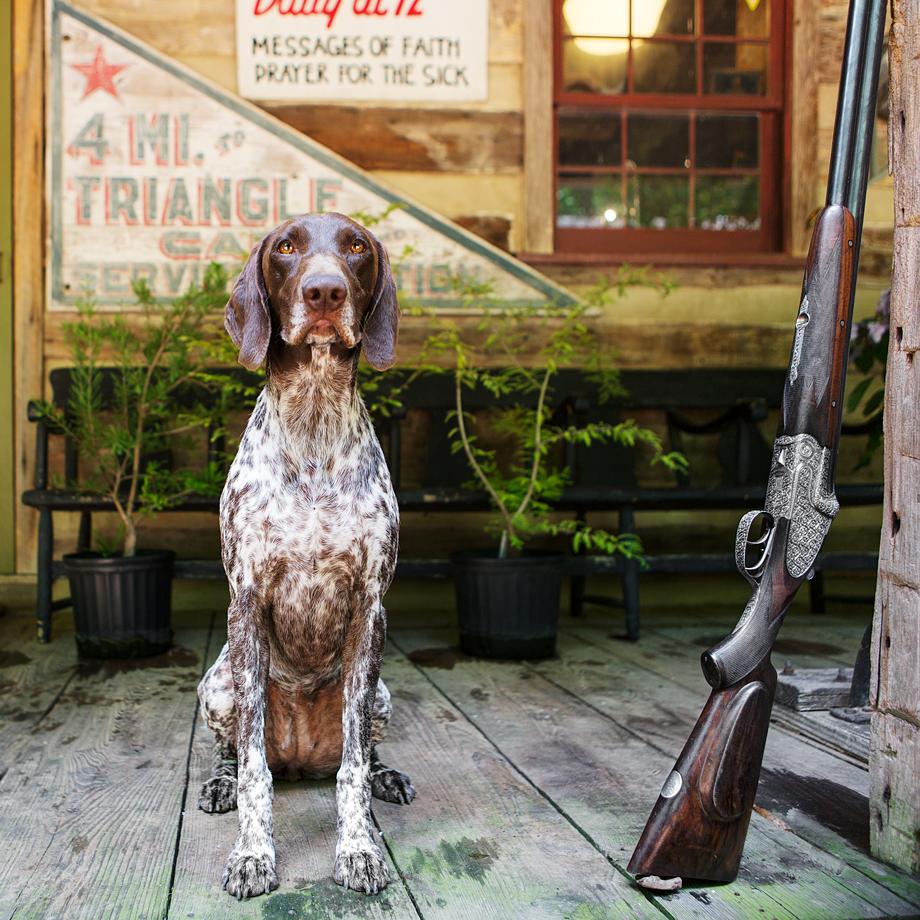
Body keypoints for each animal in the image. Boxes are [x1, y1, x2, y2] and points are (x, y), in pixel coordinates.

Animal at [200, 214, 416, 900]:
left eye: (356, 246)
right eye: (288, 246)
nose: (325, 292)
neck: (315, 419)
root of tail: (297, 756)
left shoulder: (371, 606)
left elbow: (351, 772)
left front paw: (359, 848)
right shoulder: (246, 600)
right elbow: (252, 772)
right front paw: (252, 854)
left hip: (380, 695)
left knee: (360, 754)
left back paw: (386, 777)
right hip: (218, 684)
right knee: (242, 755)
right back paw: (219, 782)